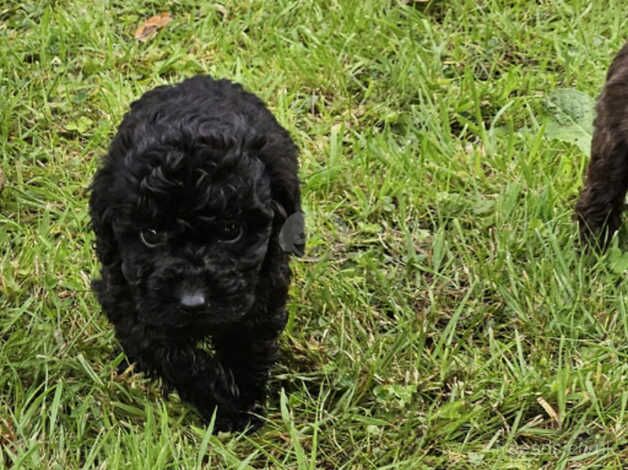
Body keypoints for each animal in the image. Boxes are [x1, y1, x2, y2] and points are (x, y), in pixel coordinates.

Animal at [89, 77, 306, 434]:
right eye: (150, 235)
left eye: (231, 229)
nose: (192, 303)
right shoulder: (124, 295)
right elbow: (169, 353)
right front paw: (223, 403)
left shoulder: (263, 288)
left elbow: (248, 341)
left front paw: (245, 403)